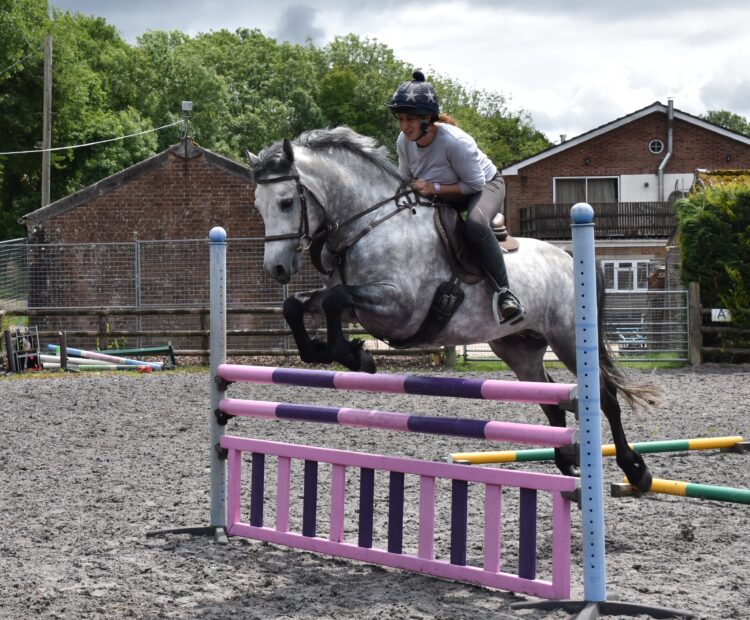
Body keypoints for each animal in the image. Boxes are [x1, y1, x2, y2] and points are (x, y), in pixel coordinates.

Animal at [244, 126, 660, 492]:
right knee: (553, 400)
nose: (276, 269)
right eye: (258, 207)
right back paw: (568, 460)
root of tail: (570, 257)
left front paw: (355, 356)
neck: (371, 223)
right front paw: (337, 352)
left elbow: (333, 301)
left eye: (286, 202)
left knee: (605, 397)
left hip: (569, 337)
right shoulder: (360, 306)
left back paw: (636, 471)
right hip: (518, 348)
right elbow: (298, 306)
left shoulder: (398, 306)